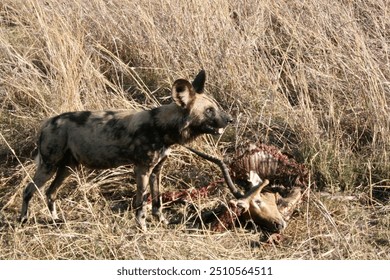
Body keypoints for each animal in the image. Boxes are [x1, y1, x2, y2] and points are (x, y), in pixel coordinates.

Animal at [20, 71, 232, 231]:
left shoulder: (156, 171)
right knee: (28, 190)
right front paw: (142, 227)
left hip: (67, 168)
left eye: (215, 108)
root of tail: (48, 122)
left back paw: (56, 220)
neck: (162, 127)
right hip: (49, 167)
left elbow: (157, 201)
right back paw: (23, 220)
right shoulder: (142, 170)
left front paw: (161, 221)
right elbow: (141, 203)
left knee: (50, 193)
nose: (230, 119)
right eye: (209, 110)